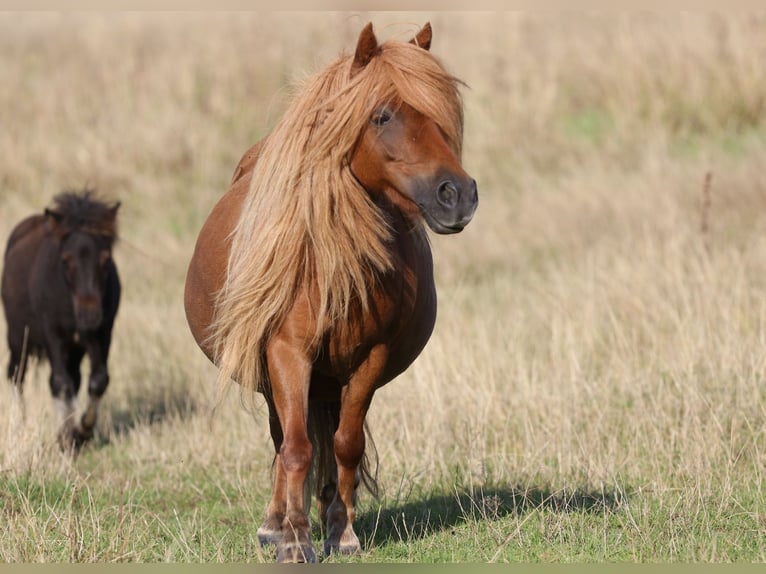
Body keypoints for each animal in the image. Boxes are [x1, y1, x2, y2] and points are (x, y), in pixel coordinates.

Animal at [1, 194, 120, 454]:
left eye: (106, 259)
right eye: (65, 260)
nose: (89, 315)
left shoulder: (101, 334)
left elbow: (98, 380)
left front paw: (82, 430)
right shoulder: (53, 334)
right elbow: (60, 383)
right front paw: (66, 437)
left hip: (74, 349)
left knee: (74, 378)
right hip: (18, 338)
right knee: (16, 374)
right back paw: (21, 422)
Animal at [184, 21, 476, 564]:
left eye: (445, 113)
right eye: (382, 115)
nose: (458, 195)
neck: (332, 259)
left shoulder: (369, 359)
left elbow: (345, 445)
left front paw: (340, 532)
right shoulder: (287, 353)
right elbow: (296, 449)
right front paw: (294, 540)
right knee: (283, 440)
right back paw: (274, 524)